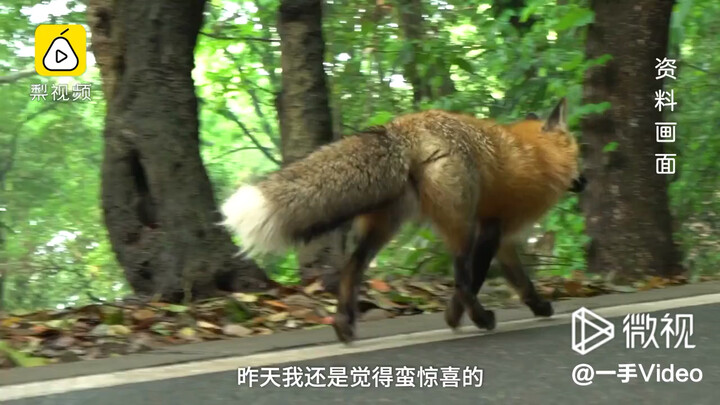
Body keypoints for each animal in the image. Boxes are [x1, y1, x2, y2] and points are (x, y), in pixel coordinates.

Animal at [220, 98, 586, 343]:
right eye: (579, 155)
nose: (586, 181)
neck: (537, 155)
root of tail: (404, 126)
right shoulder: (490, 230)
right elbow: (477, 280)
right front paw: (455, 317)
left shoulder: (503, 237)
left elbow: (523, 283)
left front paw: (540, 307)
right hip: (460, 227)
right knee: (462, 280)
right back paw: (480, 318)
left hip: (386, 226)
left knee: (351, 269)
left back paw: (344, 325)